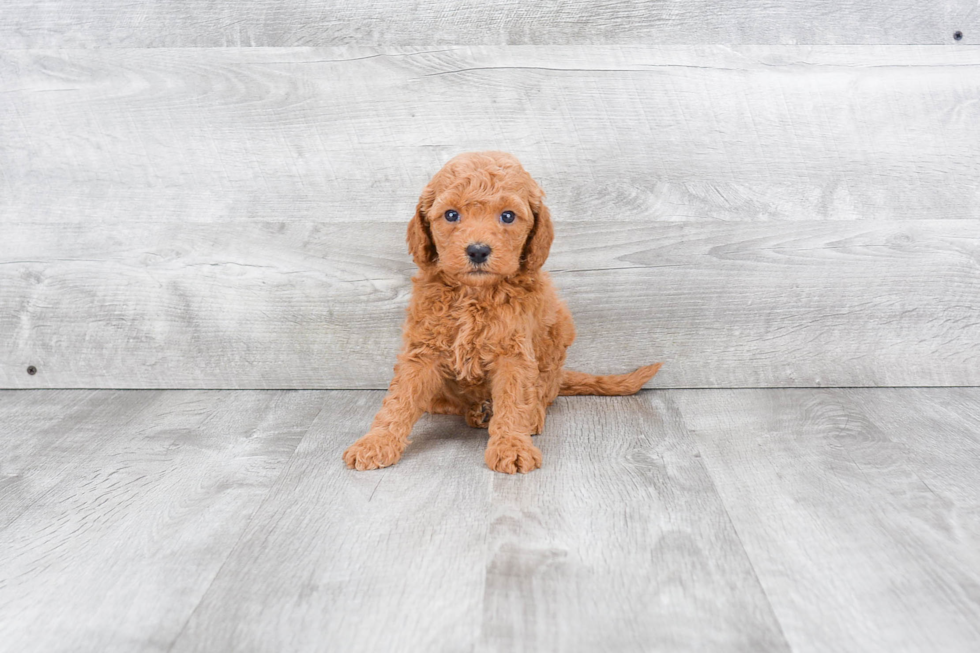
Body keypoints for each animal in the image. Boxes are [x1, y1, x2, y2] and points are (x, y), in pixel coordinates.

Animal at [342, 150, 660, 472]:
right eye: (451, 215)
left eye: (507, 216)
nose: (478, 251)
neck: (474, 293)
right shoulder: (423, 349)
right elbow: (400, 399)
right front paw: (376, 442)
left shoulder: (514, 353)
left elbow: (514, 399)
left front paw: (512, 446)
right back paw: (475, 410)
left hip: (557, 335)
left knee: (544, 391)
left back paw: (529, 415)